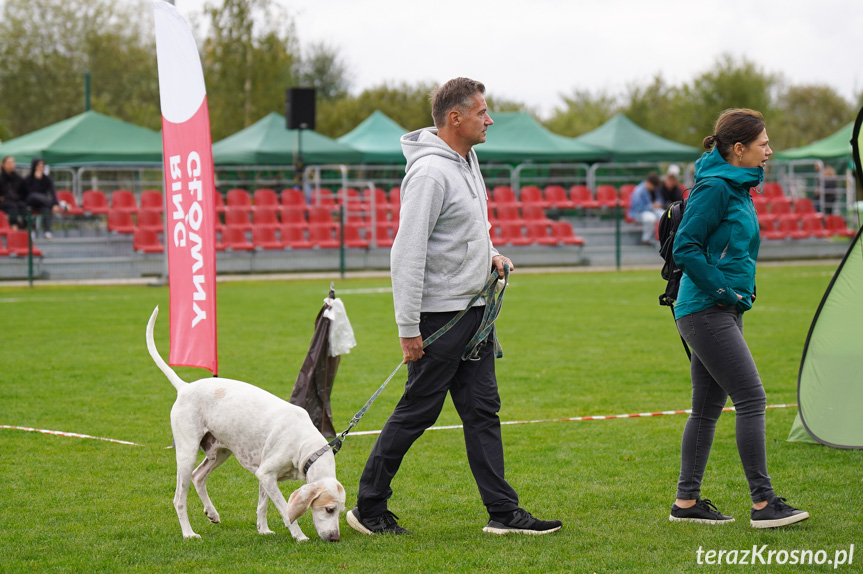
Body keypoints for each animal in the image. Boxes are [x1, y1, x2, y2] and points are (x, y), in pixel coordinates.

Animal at [145, 308, 344, 544]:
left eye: (341, 512)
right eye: (329, 509)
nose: (335, 537)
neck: (305, 447)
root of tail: (184, 387)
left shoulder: (265, 476)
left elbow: (262, 505)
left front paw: (263, 529)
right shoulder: (267, 474)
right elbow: (285, 509)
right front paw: (299, 535)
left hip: (220, 452)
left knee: (198, 476)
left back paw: (212, 513)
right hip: (187, 453)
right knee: (179, 498)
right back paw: (188, 533)